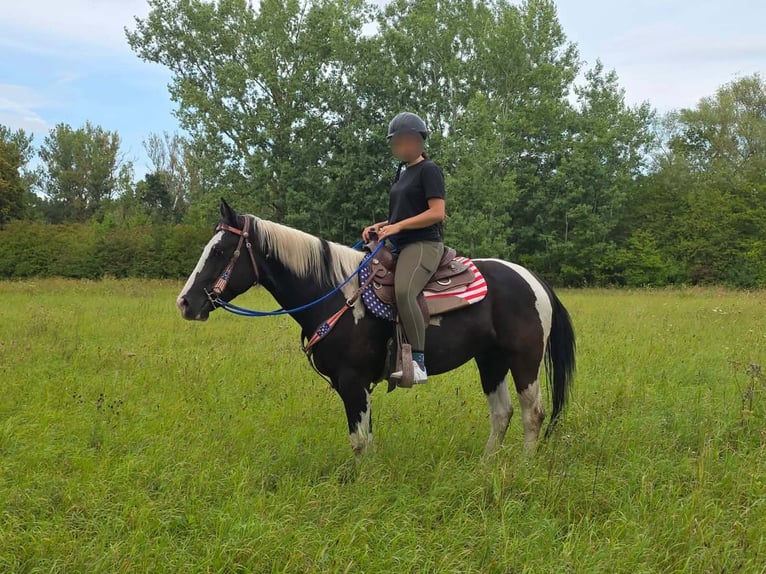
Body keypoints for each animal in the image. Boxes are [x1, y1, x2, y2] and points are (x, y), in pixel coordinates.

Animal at [176, 199, 576, 457]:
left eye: (220, 251)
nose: (185, 303)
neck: (334, 294)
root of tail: (532, 278)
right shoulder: (353, 385)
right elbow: (365, 439)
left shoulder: (352, 381)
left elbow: (359, 442)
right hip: (490, 360)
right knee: (501, 414)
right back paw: (486, 467)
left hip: (523, 359)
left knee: (532, 413)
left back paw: (522, 469)